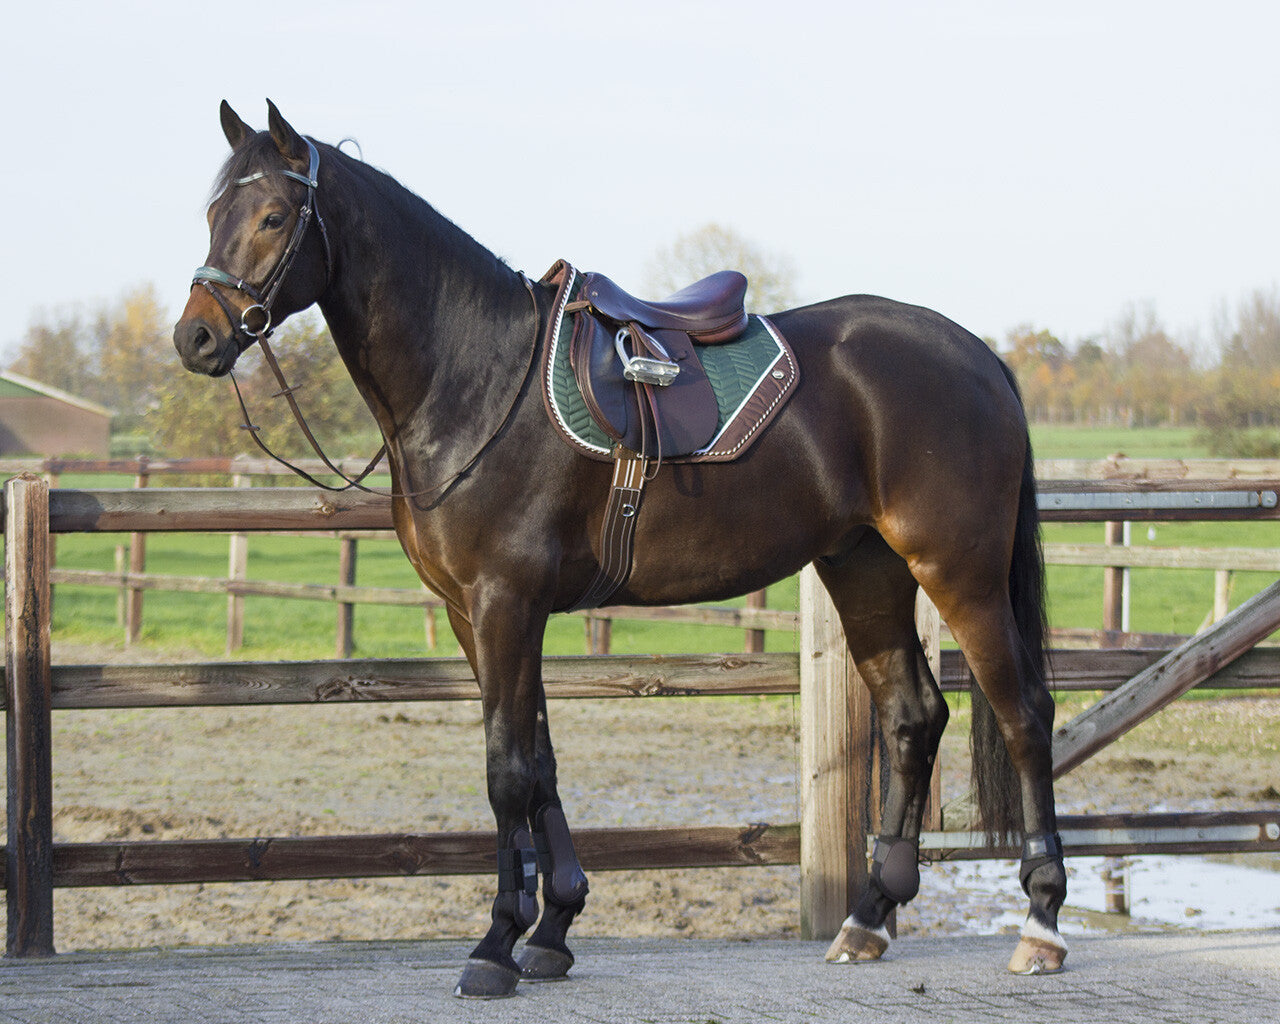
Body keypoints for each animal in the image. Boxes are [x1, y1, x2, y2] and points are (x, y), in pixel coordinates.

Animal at [174, 101, 1067, 998]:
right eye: (212, 214)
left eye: (274, 216)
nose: (196, 339)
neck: (476, 377)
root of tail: (979, 356)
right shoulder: (478, 612)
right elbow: (538, 762)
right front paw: (553, 927)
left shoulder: (506, 601)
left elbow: (507, 772)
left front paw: (495, 944)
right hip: (865, 567)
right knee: (913, 717)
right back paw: (869, 917)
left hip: (959, 572)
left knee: (1025, 715)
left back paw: (1041, 923)